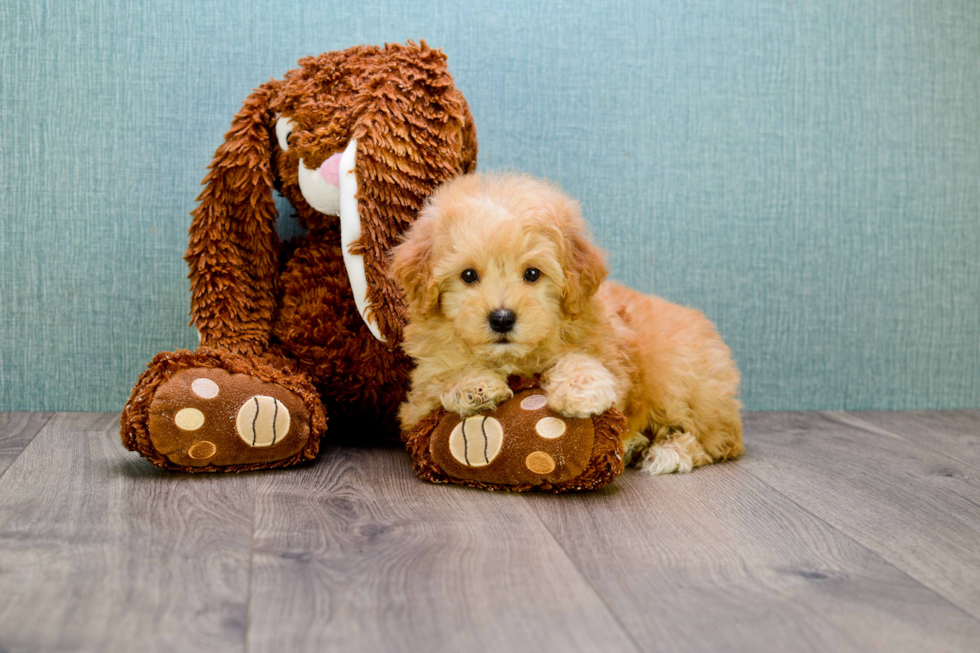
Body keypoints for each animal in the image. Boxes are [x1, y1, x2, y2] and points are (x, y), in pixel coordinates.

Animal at [390, 172, 744, 474]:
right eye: (468, 275)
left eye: (532, 273)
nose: (502, 318)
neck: (514, 358)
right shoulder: (417, 401)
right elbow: (440, 382)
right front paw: (473, 386)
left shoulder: (612, 355)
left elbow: (581, 359)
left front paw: (581, 390)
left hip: (681, 380)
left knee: (716, 438)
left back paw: (668, 452)